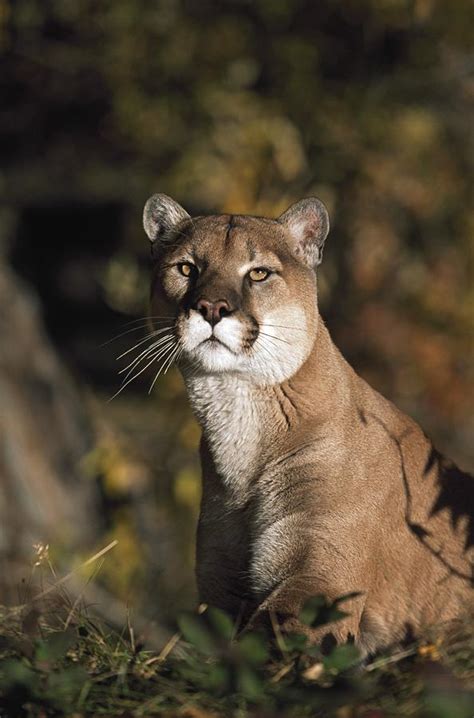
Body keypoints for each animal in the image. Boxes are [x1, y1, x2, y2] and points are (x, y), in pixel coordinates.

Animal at [142, 193, 474, 660]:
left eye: (258, 273)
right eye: (187, 268)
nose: (211, 309)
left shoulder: (322, 573)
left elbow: (272, 636)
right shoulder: (217, 588)